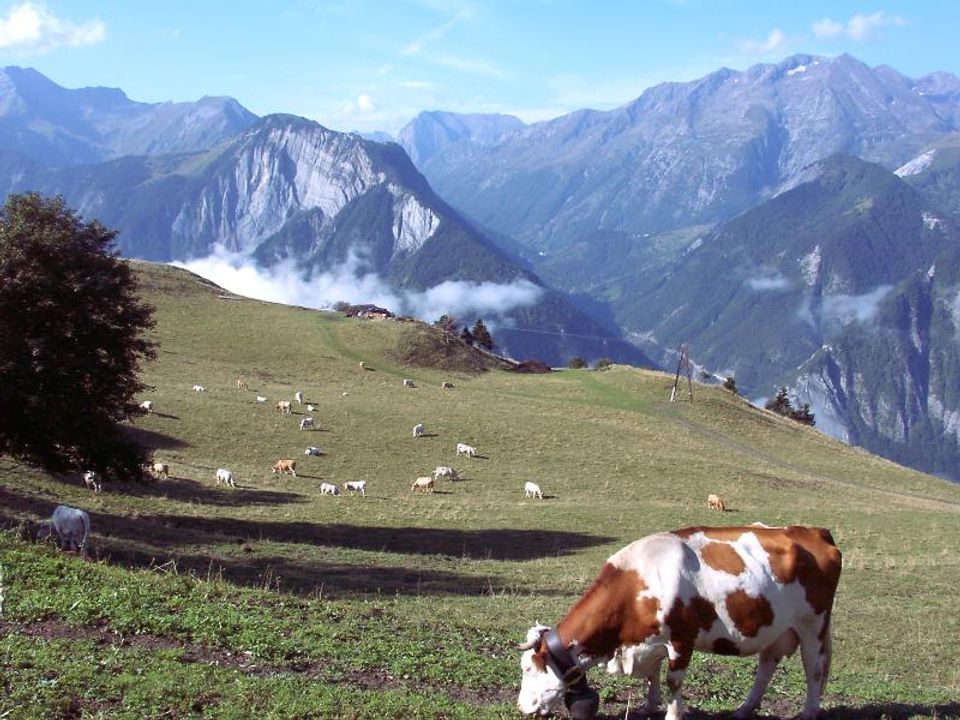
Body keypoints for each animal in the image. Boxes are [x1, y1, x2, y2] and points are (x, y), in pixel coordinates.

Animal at [516, 524, 840, 720]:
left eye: (529, 669)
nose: (520, 705)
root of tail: (813, 531)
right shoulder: (649, 640)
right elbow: (652, 675)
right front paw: (649, 704)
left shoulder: (682, 638)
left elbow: (673, 680)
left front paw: (672, 714)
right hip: (775, 627)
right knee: (767, 665)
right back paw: (744, 708)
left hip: (813, 624)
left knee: (814, 668)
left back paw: (808, 711)